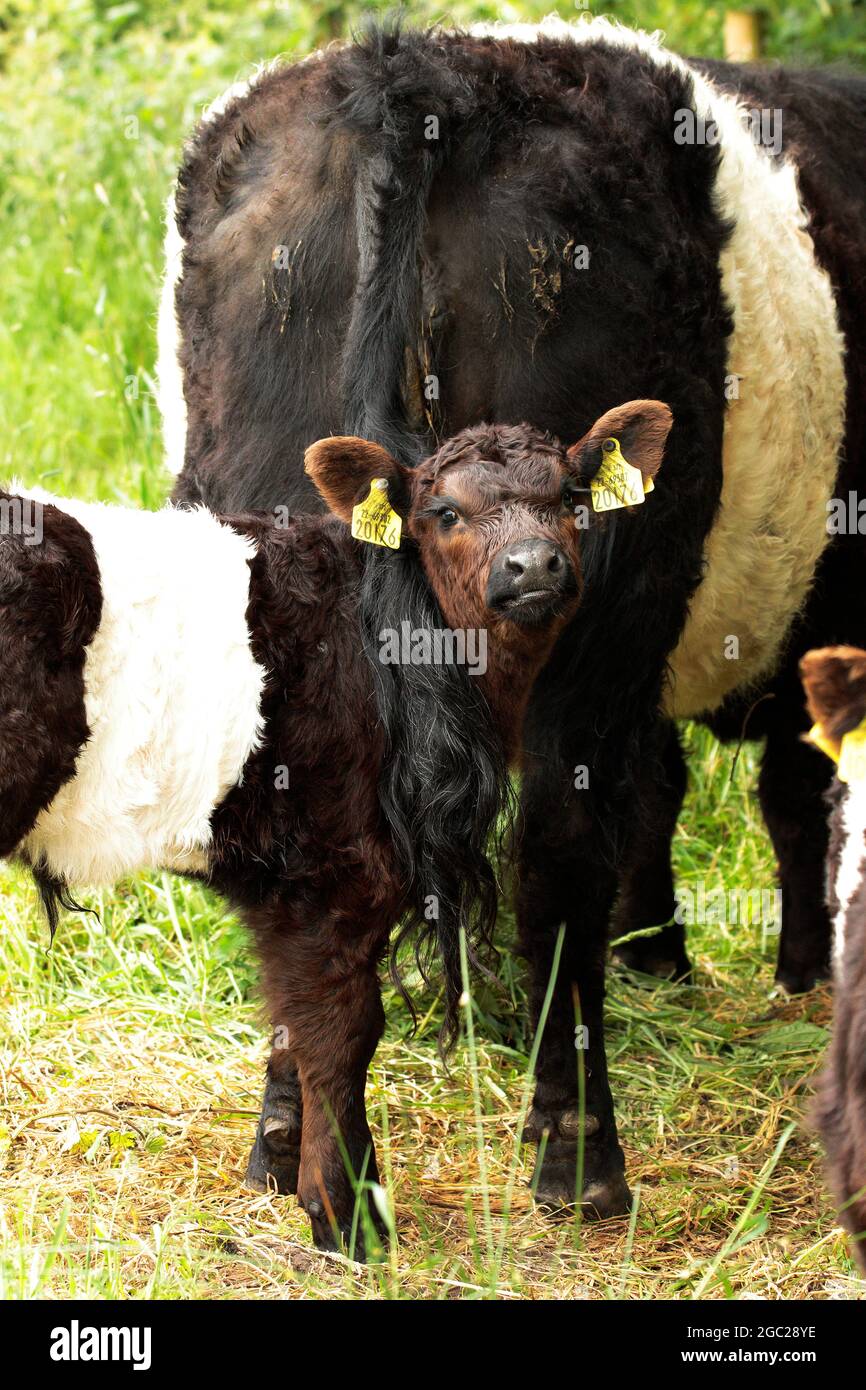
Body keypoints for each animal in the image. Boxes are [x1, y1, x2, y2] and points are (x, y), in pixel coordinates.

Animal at [0, 406, 670, 1254]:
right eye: (443, 512)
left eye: (571, 498)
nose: (534, 566)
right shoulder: (338, 869)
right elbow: (342, 1033)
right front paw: (349, 1216)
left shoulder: (286, 890)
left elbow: (293, 1023)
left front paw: (288, 1173)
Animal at [158, 15, 866, 1219]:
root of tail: (408, 71)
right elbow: (785, 797)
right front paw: (788, 973)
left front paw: (663, 951)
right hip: (590, 614)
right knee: (557, 855)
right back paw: (579, 1158)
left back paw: (288, 1151)